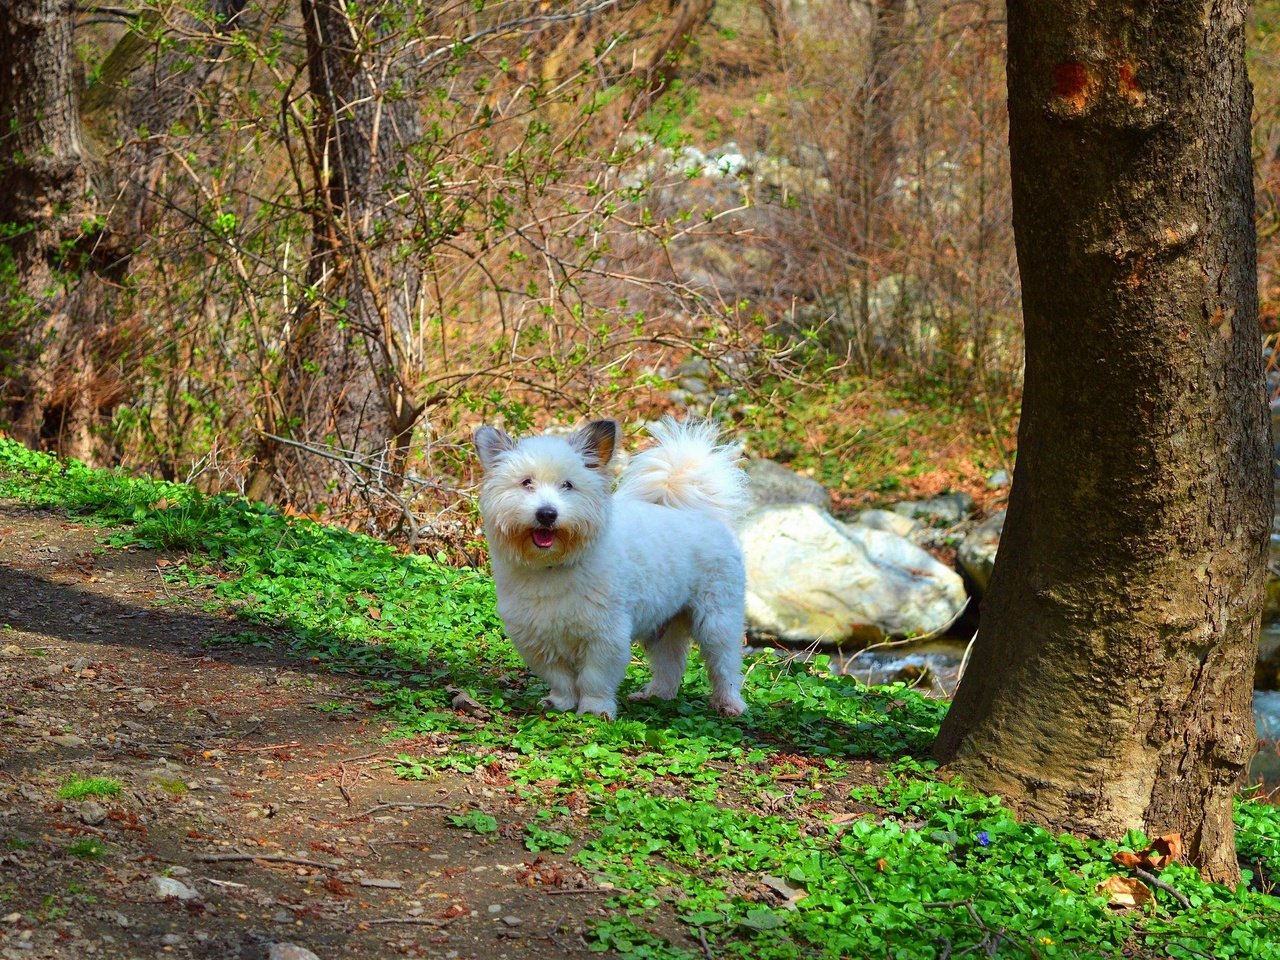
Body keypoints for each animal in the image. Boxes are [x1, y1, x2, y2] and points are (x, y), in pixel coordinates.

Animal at [476, 417, 747, 716]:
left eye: (568, 485)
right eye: (526, 482)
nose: (547, 514)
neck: (553, 566)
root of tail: (701, 514)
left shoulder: (605, 635)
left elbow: (594, 677)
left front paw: (594, 710)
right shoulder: (538, 638)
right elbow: (560, 677)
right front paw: (561, 703)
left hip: (717, 619)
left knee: (725, 665)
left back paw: (730, 704)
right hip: (664, 624)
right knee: (671, 663)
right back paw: (656, 695)